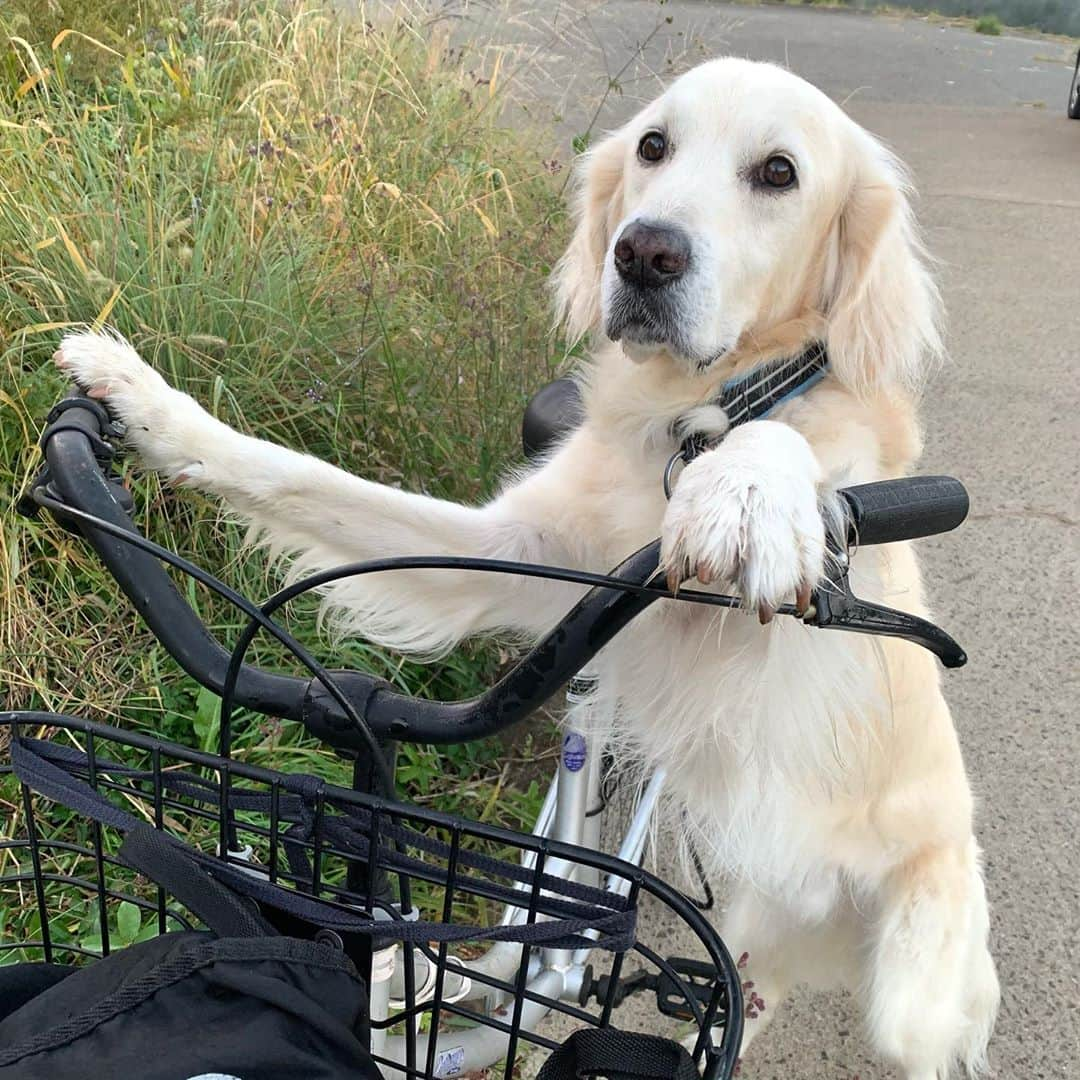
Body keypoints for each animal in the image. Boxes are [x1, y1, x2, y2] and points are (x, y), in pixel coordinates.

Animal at [52, 61, 993, 1080]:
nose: (644, 253)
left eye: (779, 172)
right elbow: (297, 475)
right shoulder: (510, 559)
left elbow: (786, 462)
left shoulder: (782, 654)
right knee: (743, 987)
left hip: (911, 989)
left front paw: (751, 491)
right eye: (653, 146)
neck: (685, 417)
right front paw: (148, 407)